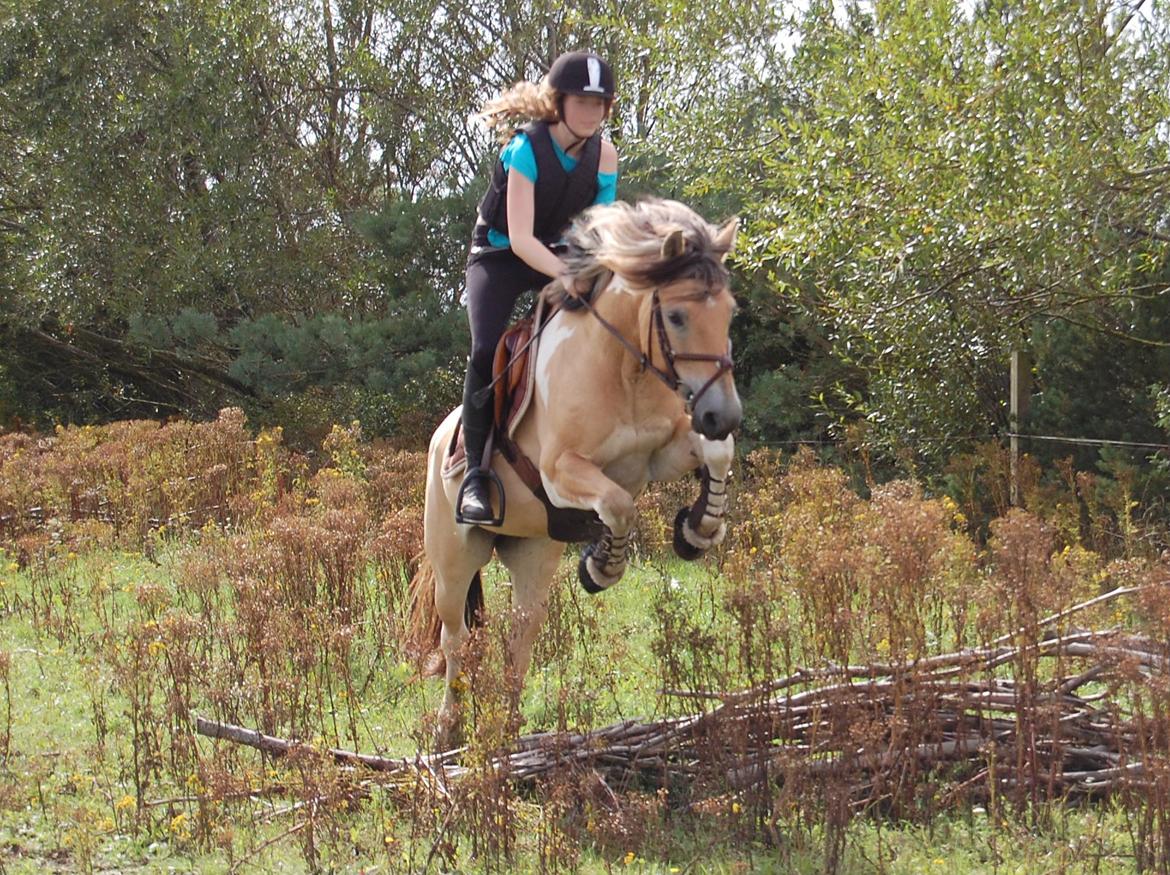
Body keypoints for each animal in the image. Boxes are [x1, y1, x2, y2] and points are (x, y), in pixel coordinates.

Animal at [409, 201, 739, 748]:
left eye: (730, 311)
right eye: (676, 316)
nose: (724, 414)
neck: (624, 368)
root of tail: (438, 439)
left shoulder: (663, 452)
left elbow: (717, 454)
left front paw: (698, 530)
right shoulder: (562, 470)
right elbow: (619, 505)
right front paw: (601, 566)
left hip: (533, 552)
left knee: (519, 638)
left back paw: (510, 732)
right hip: (454, 560)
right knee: (457, 640)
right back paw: (448, 731)